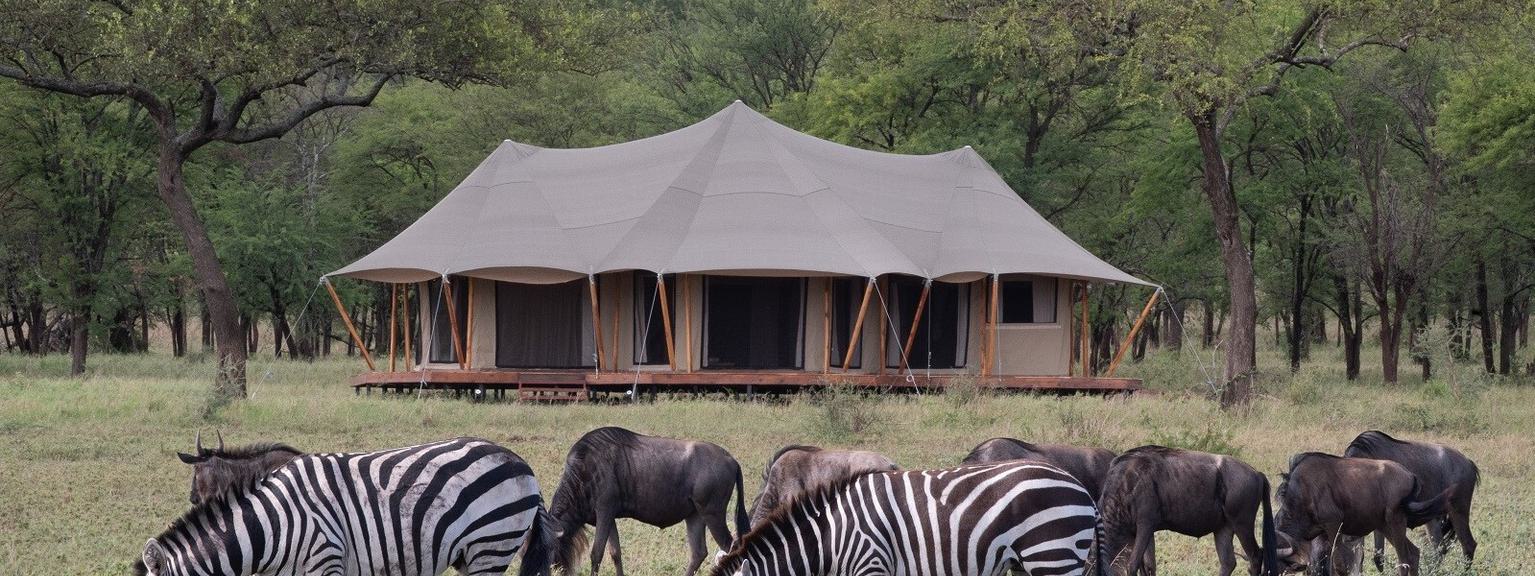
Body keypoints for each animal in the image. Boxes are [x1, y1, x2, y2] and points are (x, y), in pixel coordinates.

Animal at [135, 437, 557, 576]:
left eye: (198, 480)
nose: (192, 498)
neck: (273, 525)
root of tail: (521, 462)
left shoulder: (327, 560)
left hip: (492, 545)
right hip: (473, 554)